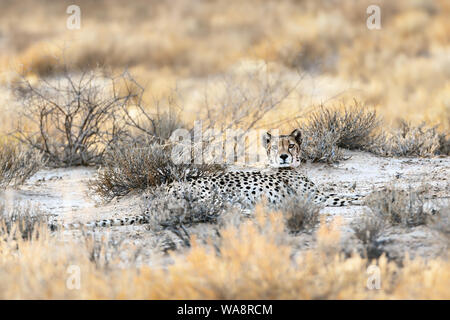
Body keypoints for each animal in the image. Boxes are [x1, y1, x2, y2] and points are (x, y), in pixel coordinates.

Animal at [52, 129, 362, 229]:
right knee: (217, 210)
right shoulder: (317, 197)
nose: (284, 156)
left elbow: (350, 194)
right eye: (276, 147)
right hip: (210, 193)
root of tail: (152, 202)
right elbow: (350, 196)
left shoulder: (317, 195)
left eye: (292, 146)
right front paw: (372, 195)